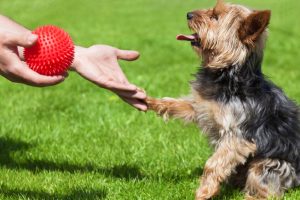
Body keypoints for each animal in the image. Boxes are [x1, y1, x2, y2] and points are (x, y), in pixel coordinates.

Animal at [146, 0, 300, 199]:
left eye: (215, 17)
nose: (188, 14)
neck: (227, 74)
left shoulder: (237, 137)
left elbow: (213, 164)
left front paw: (203, 192)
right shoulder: (202, 105)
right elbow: (178, 104)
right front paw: (148, 100)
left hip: (273, 164)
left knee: (266, 186)